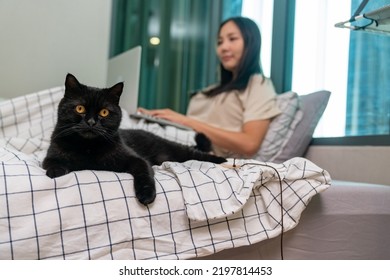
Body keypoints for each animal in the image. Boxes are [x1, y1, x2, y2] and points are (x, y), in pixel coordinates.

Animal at [42, 74, 225, 206]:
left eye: (104, 112)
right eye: (80, 108)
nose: (92, 122)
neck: (88, 147)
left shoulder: (137, 159)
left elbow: (144, 173)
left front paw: (146, 195)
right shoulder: (51, 154)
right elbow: (52, 162)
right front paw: (56, 171)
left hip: (177, 151)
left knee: (196, 153)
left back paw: (222, 160)